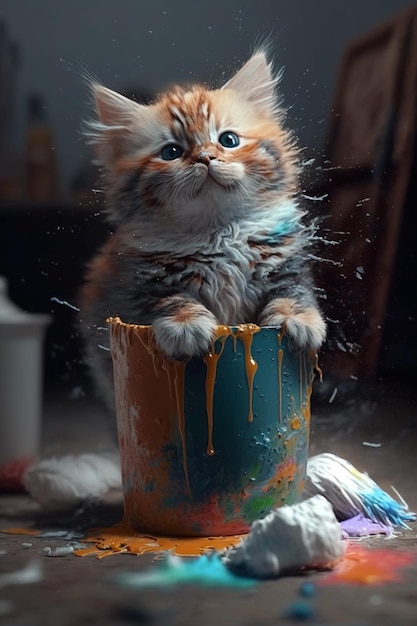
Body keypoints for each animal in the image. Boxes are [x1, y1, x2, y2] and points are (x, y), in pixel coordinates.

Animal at [77, 50, 324, 410]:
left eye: (228, 140)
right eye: (172, 152)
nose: (205, 157)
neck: (217, 232)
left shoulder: (284, 262)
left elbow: (293, 291)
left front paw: (299, 320)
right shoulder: (138, 281)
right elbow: (170, 298)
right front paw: (187, 325)